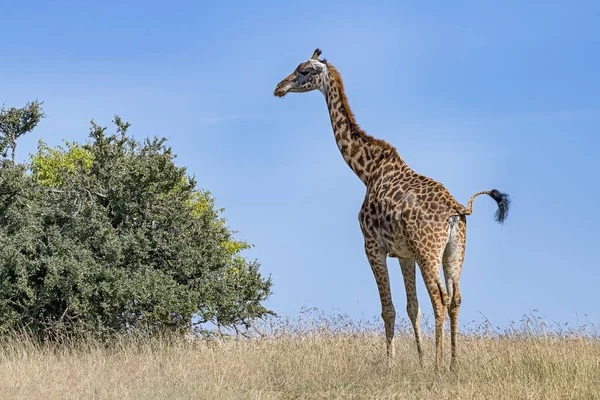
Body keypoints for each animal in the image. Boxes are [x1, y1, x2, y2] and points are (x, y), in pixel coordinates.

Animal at [274, 48, 510, 370]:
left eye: (304, 71)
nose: (279, 87)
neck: (366, 170)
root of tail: (457, 210)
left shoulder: (373, 246)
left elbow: (389, 309)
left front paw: (391, 364)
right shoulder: (404, 254)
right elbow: (412, 307)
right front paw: (420, 362)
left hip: (428, 251)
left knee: (439, 297)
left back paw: (439, 365)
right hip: (455, 251)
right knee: (456, 298)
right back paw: (453, 363)